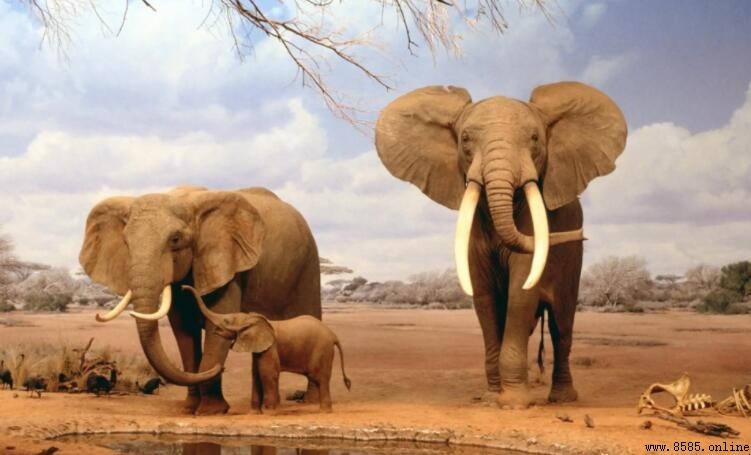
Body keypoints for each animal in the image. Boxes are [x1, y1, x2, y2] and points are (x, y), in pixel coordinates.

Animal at [79, 185, 321, 414]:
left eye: (175, 239)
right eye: (126, 242)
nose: (221, 368)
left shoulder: (225, 262)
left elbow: (217, 323)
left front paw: (210, 411)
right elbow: (183, 331)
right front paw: (190, 409)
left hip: (308, 264)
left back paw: (307, 401)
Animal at [184, 285, 351, 413]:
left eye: (226, 321)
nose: (183, 287)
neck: (252, 319)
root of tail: (333, 335)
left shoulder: (271, 348)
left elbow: (267, 374)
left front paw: (269, 411)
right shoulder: (259, 348)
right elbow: (255, 374)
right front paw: (255, 413)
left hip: (322, 350)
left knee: (320, 378)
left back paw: (324, 411)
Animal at [375, 81, 627, 408]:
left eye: (535, 139)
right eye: (465, 139)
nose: (581, 234)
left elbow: (522, 291)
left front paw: (514, 403)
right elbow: (484, 297)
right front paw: (491, 397)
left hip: (574, 261)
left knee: (561, 326)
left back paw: (562, 399)